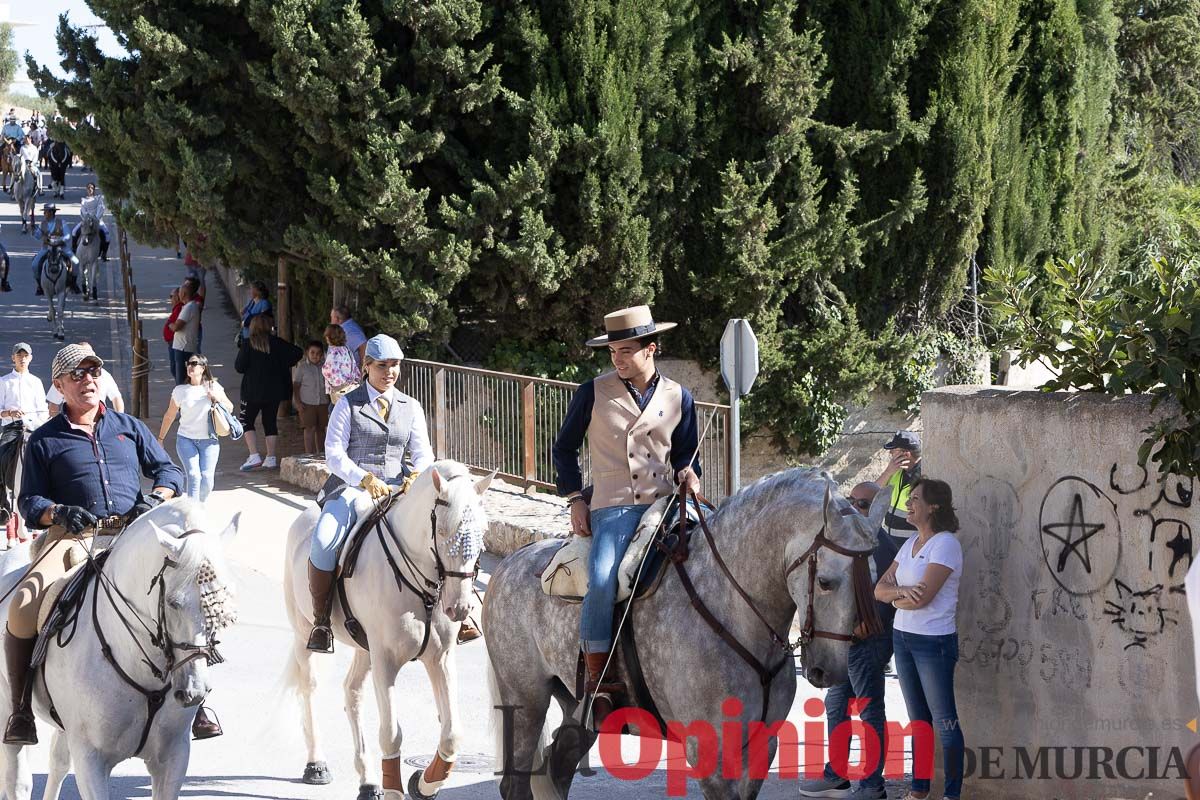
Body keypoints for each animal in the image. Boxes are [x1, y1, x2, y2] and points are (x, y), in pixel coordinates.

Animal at [0, 496, 241, 796]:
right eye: (173, 602)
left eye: (221, 607)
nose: (193, 692)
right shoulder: (91, 759)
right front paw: (72, 515)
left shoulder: (174, 756)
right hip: (7, 707)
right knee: (18, 778)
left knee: (58, 763)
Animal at [283, 460, 494, 796]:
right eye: (443, 530)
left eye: (483, 531)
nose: (459, 608)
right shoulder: (386, 661)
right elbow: (391, 734)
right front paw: (397, 788)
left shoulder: (440, 659)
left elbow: (451, 734)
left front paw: (423, 784)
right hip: (304, 632)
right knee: (309, 688)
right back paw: (317, 764)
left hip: (363, 648)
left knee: (352, 691)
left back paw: (367, 780)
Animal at [482, 470, 888, 800]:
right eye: (826, 582)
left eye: (873, 577)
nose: (828, 670)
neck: (731, 611)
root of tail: (509, 563)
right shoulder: (709, 753)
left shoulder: (760, 748)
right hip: (526, 701)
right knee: (516, 781)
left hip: (579, 710)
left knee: (558, 766)